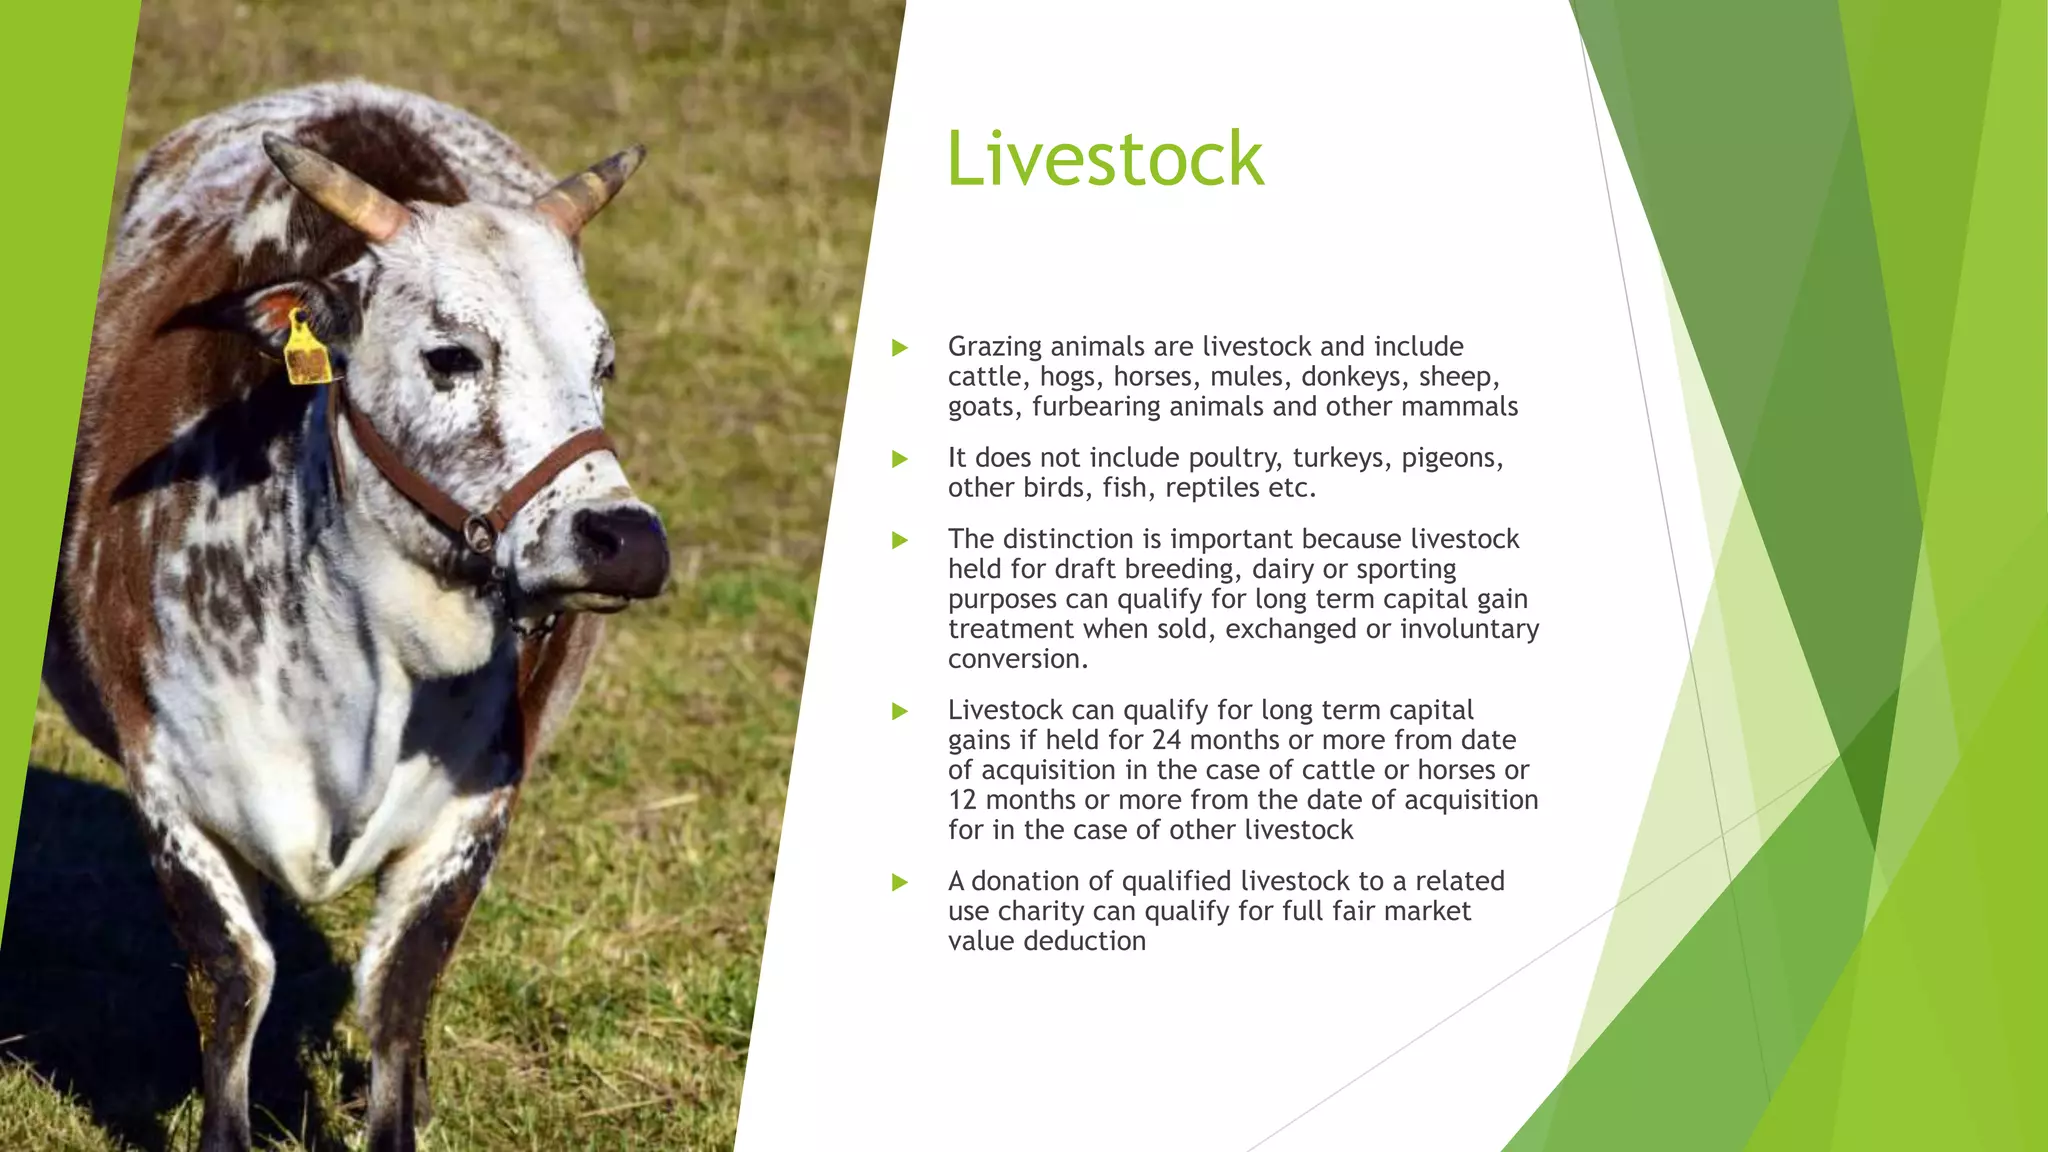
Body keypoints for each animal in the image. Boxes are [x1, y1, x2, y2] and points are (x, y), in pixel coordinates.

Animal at [40, 80, 670, 1152]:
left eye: (604, 364)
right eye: (451, 355)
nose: (625, 539)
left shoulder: (475, 810)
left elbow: (398, 991)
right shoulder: (167, 788)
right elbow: (235, 983)